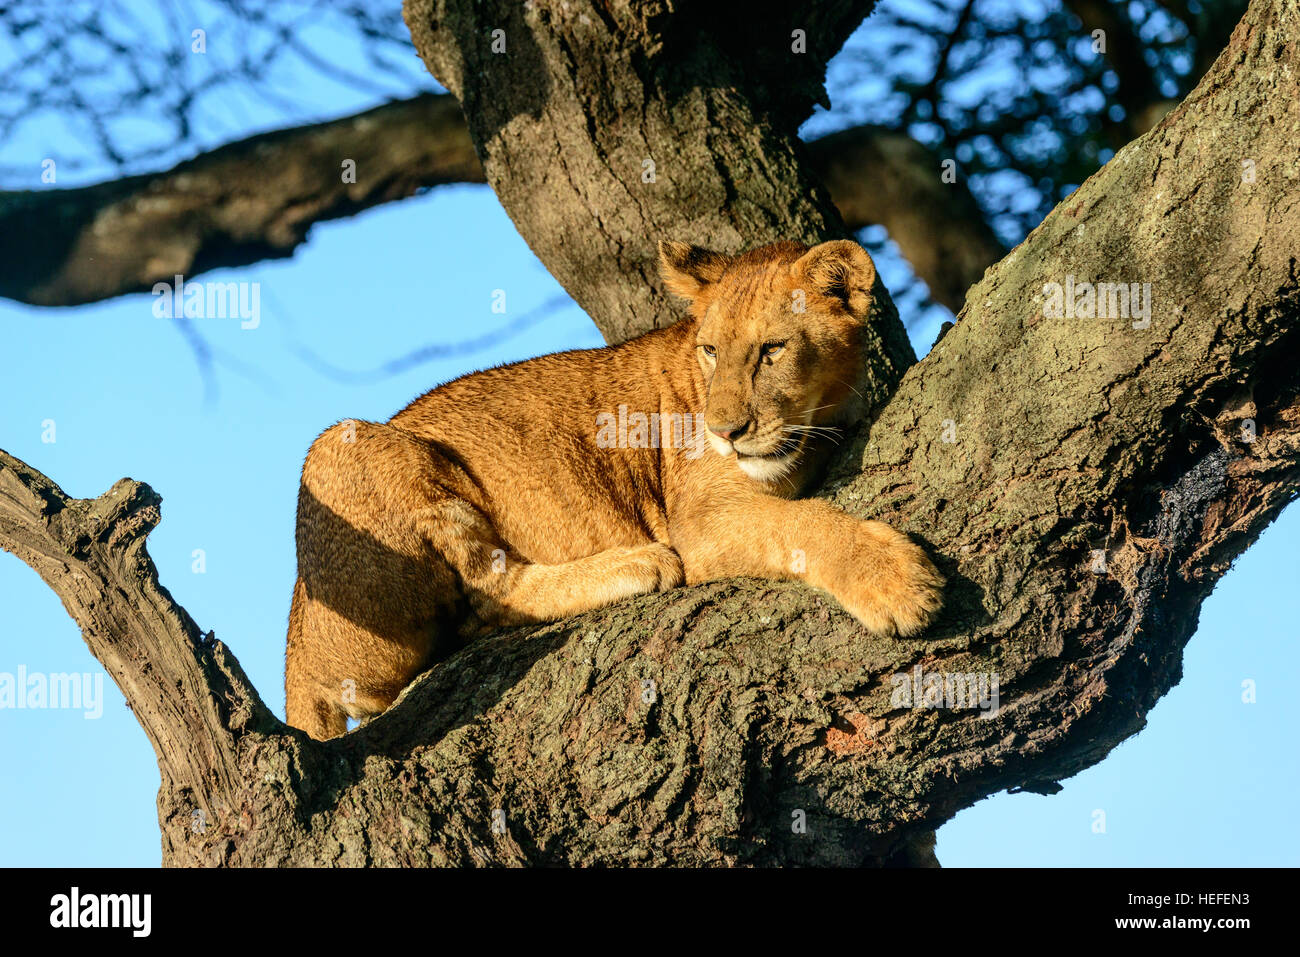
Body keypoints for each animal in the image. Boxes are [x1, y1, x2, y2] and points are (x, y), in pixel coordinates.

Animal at [285, 239, 944, 740]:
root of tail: (295, 638)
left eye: (773, 350)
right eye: (711, 350)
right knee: (488, 596)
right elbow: (800, 521)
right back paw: (639, 564)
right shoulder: (701, 519)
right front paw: (895, 581)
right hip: (344, 446)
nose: (724, 432)